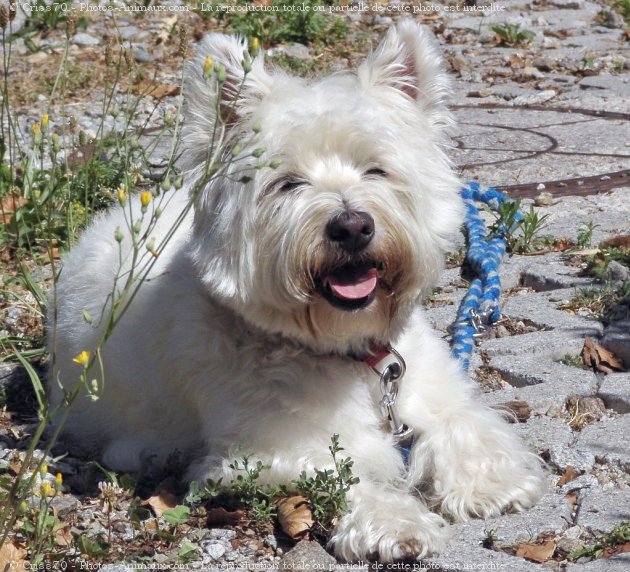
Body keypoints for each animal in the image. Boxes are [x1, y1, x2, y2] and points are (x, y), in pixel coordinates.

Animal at [49, 22, 544, 564]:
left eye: (376, 170)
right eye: (287, 184)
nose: (351, 227)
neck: (349, 355)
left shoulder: (432, 385)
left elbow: (461, 423)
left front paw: (490, 484)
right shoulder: (267, 452)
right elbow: (342, 475)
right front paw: (396, 523)